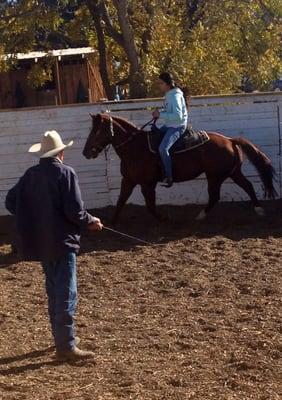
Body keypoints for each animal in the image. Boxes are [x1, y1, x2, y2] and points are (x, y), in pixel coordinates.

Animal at [82, 114, 276, 223]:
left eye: (97, 131)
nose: (86, 152)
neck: (135, 147)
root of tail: (229, 140)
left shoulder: (147, 183)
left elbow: (150, 205)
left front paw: (164, 218)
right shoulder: (128, 181)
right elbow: (121, 201)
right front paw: (111, 222)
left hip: (215, 176)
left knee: (215, 196)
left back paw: (200, 216)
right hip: (232, 173)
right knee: (247, 186)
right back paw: (259, 210)